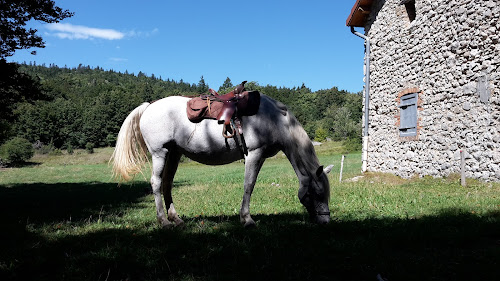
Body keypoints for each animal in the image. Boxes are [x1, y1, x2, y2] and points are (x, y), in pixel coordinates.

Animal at [111, 94, 334, 228]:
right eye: (316, 193)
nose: (325, 222)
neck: (274, 119)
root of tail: (149, 106)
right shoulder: (254, 154)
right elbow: (249, 185)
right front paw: (247, 219)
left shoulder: (259, 156)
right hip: (160, 152)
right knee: (156, 183)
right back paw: (164, 221)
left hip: (173, 153)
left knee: (167, 184)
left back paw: (176, 218)